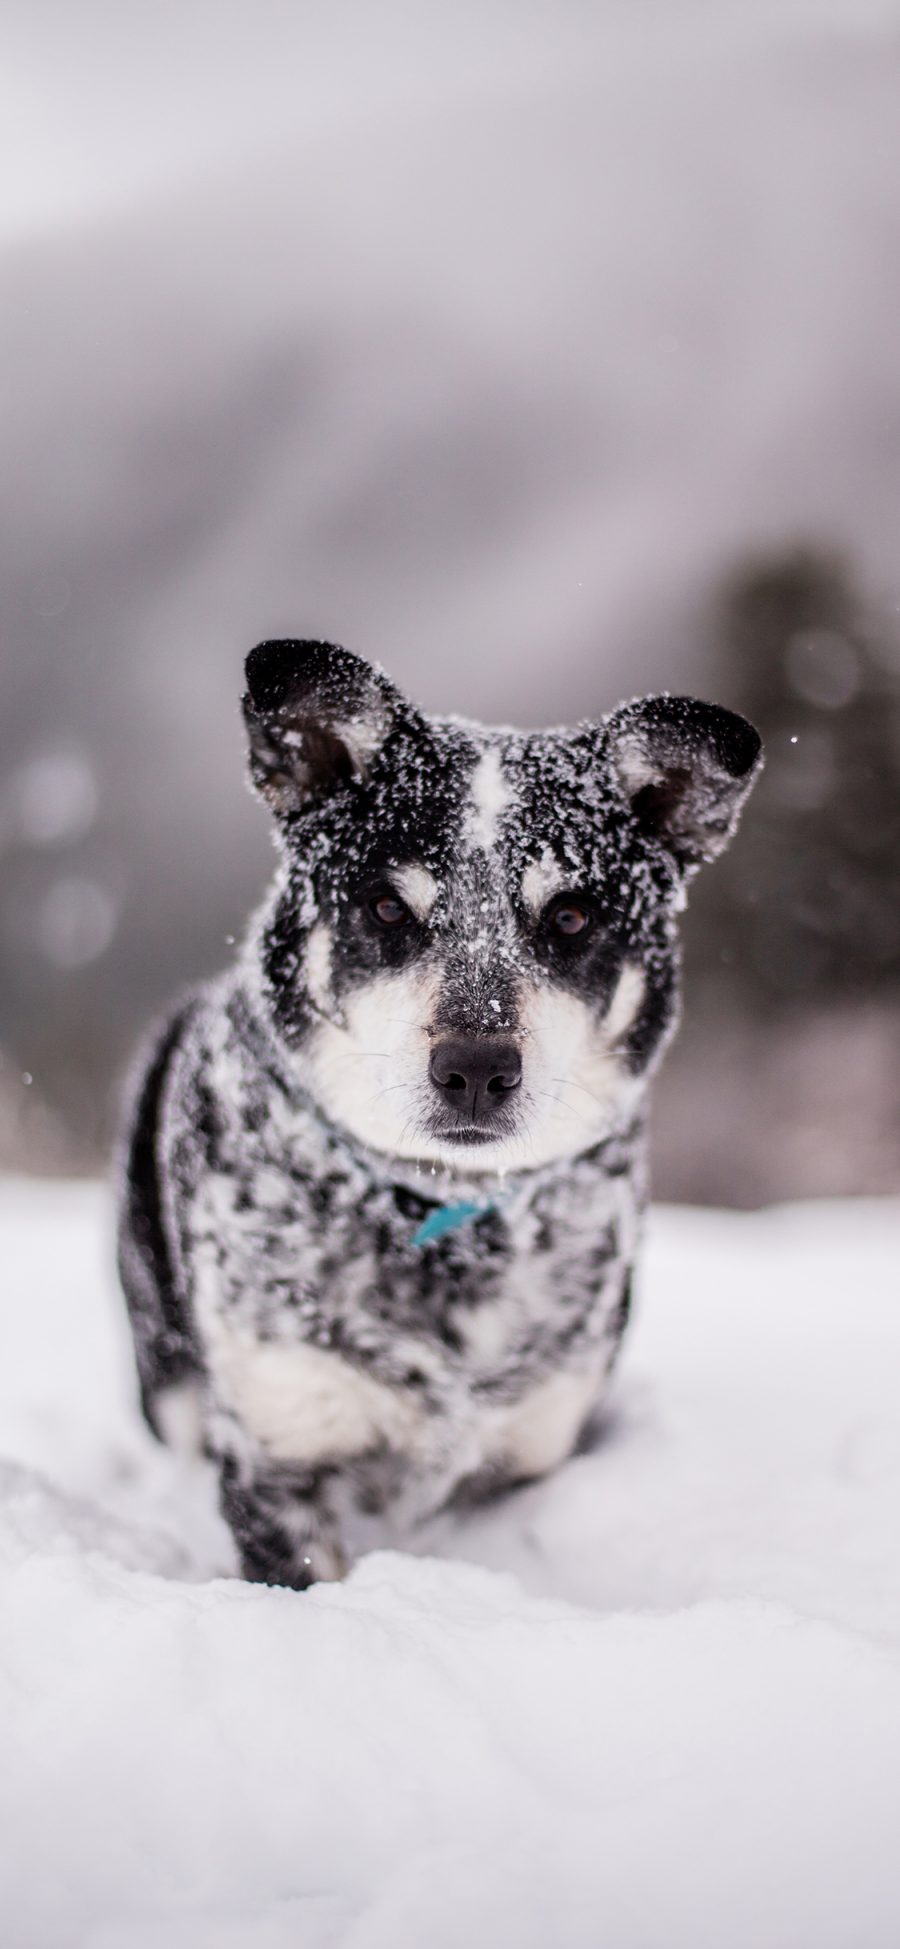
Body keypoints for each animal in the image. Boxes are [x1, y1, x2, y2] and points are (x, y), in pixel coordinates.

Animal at [115, 639, 763, 1582]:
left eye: (571, 915)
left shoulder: (531, 1447)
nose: (476, 1070)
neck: (441, 1211)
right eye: (389, 905)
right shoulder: (281, 1446)